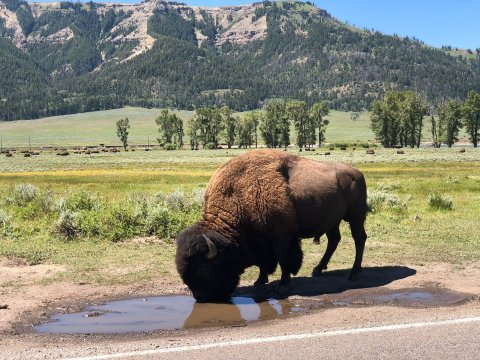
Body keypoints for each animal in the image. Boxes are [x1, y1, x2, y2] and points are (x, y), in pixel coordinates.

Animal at [176, 150, 368, 302]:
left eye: (202, 268)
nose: (201, 297)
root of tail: (358, 173)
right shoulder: (262, 243)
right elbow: (263, 264)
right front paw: (259, 283)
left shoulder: (281, 238)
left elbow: (283, 259)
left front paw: (283, 284)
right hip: (333, 221)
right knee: (334, 240)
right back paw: (318, 269)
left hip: (356, 215)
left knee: (359, 238)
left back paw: (354, 273)